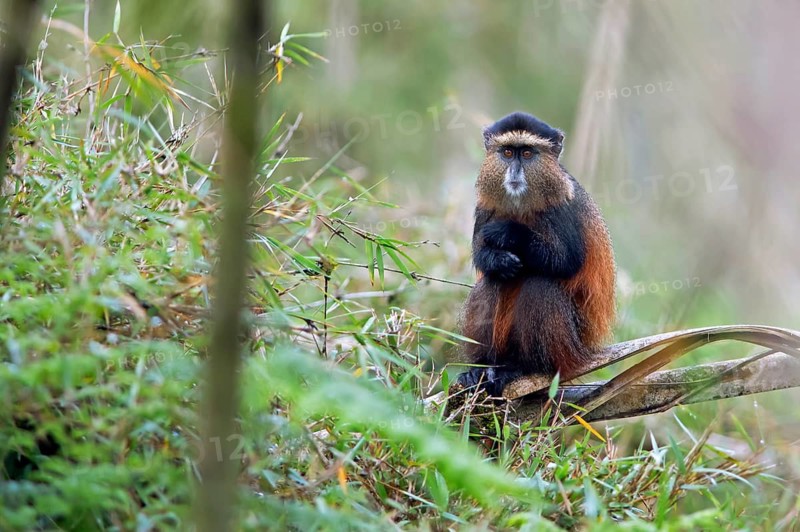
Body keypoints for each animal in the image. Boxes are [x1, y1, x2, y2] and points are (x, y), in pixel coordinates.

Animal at [456, 111, 616, 397]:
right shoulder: (485, 205)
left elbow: (567, 261)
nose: (514, 171)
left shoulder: (562, 207)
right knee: (492, 282)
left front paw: (509, 232)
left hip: (572, 347)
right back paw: (481, 368)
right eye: (508, 152)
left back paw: (524, 368)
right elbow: (481, 255)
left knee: (541, 286)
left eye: (528, 154)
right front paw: (499, 259)